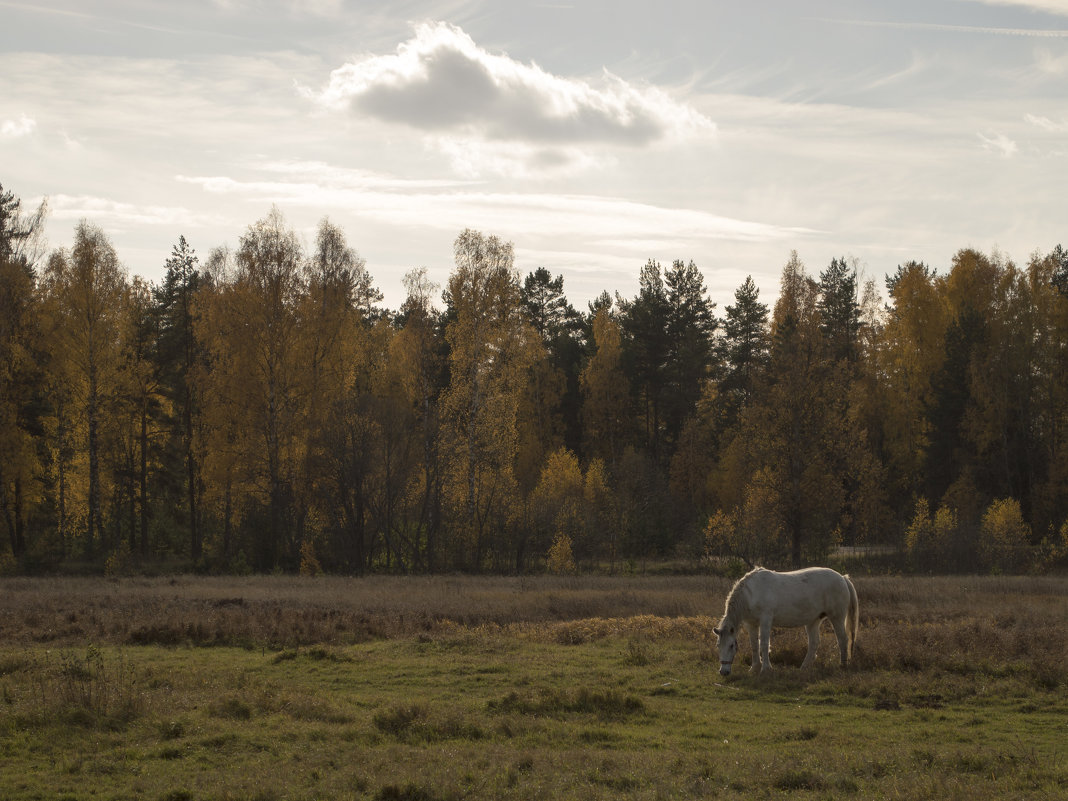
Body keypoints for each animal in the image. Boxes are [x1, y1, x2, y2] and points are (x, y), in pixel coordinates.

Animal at [709, 563, 858, 679]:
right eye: (718, 645)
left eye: (731, 646)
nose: (724, 672)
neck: (751, 594)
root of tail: (843, 578)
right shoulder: (751, 624)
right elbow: (754, 645)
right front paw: (754, 668)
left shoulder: (765, 620)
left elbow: (764, 644)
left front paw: (766, 669)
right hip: (813, 621)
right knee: (814, 643)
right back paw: (803, 667)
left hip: (837, 617)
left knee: (843, 640)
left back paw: (842, 665)